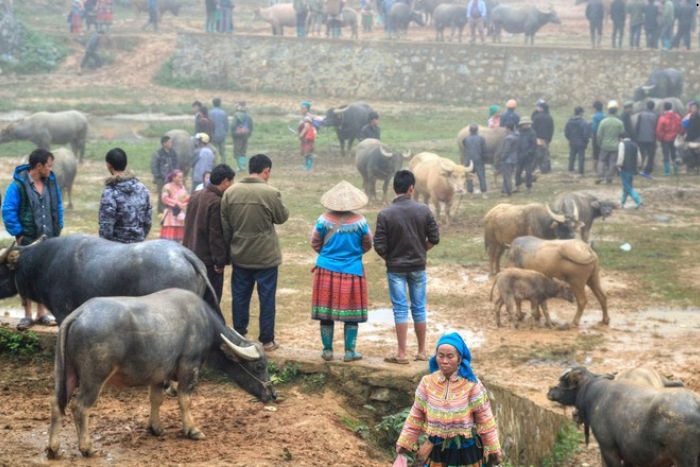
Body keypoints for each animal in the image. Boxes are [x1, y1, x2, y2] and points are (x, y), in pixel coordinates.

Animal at [47, 290, 274, 458]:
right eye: (259, 366)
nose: (272, 394)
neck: (205, 325)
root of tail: (78, 314)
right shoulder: (189, 368)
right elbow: (185, 400)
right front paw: (192, 430)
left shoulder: (158, 375)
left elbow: (156, 399)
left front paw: (155, 428)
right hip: (94, 377)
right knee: (80, 407)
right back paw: (87, 448)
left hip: (66, 373)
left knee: (57, 404)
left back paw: (53, 448)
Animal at [548, 370, 700, 467]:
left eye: (564, 381)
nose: (550, 390)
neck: (595, 396)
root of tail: (696, 404)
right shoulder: (628, 454)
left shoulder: (608, 449)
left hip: (685, 460)